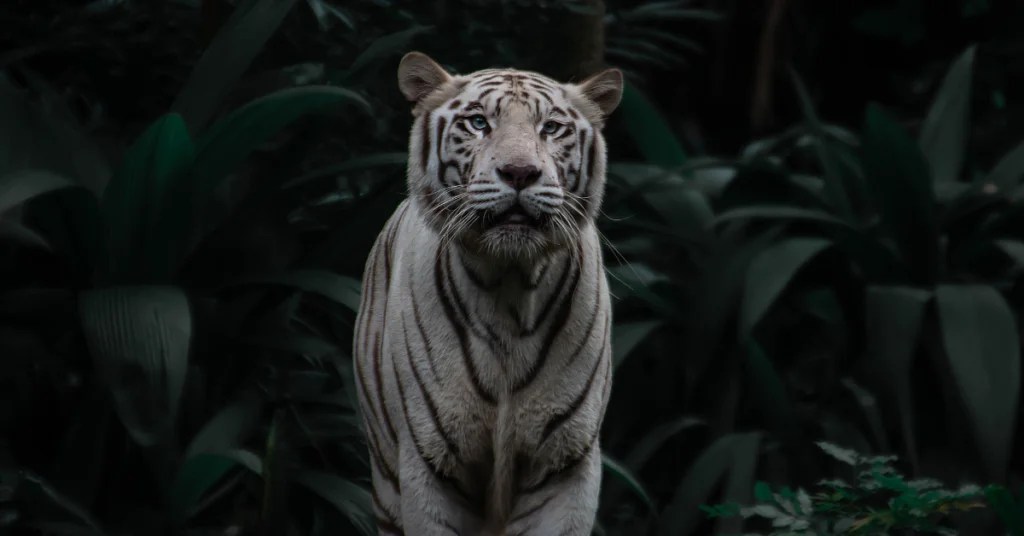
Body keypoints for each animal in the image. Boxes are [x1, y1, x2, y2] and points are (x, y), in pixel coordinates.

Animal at [353, 51, 622, 535]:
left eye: (551, 128)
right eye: (478, 123)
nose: (520, 172)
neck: (510, 291)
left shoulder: (564, 463)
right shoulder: (430, 462)